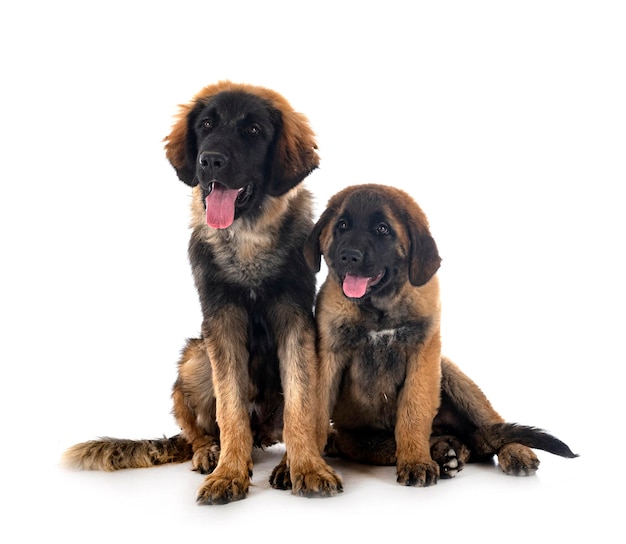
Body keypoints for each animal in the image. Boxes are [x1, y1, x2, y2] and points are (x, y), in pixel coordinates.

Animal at [62, 82, 342, 506]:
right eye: (206, 125)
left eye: (253, 131)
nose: (208, 161)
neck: (247, 240)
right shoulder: (220, 323)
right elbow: (230, 410)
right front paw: (229, 473)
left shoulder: (295, 321)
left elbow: (300, 404)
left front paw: (307, 467)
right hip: (196, 357)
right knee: (199, 430)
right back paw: (210, 452)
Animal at [302, 185, 576, 486]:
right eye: (342, 225)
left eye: (382, 229)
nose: (349, 256)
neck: (380, 307)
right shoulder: (329, 356)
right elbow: (315, 415)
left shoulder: (424, 356)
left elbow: (413, 413)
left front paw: (416, 462)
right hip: (361, 440)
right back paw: (446, 451)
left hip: (453, 376)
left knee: (492, 422)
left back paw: (511, 451)